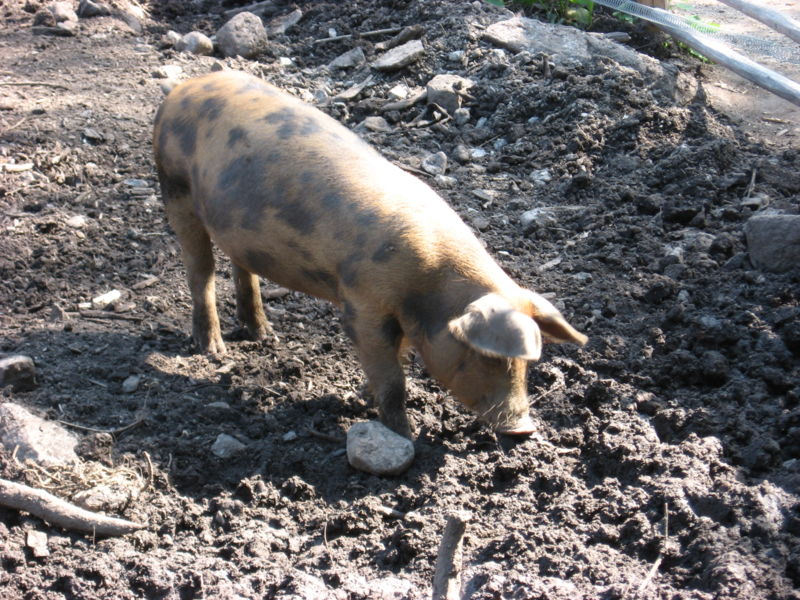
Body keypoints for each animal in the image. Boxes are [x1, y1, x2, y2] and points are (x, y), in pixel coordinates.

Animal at [152, 70, 588, 438]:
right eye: (489, 357)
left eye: (527, 364)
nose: (523, 430)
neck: (430, 286)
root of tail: (181, 88)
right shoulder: (362, 305)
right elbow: (393, 379)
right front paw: (403, 437)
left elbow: (395, 361)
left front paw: (363, 397)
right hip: (174, 188)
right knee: (201, 271)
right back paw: (211, 349)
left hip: (234, 223)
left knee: (242, 268)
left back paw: (264, 335)